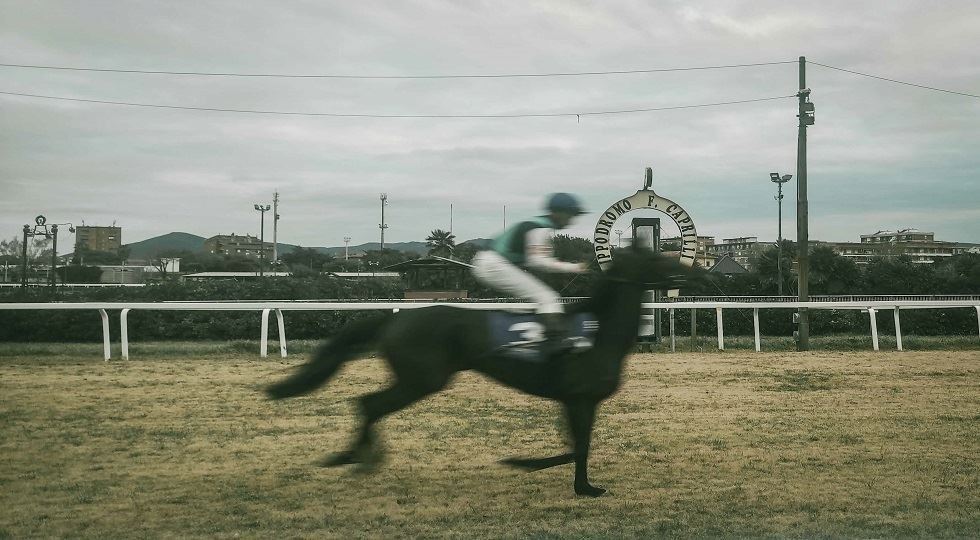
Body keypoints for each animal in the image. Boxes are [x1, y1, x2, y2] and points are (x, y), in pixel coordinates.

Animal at [266, 247, 696, 496]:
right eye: (654, 257)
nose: (686, 271)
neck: (600, 333)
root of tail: (395, 319)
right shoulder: (580, 398)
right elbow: (580, 447)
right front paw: (563, 479)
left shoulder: (572, 401)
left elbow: (578, 445)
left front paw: (573, 481)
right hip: (422, 379)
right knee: (369, 403)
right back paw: (356, 457)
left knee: (369, 404)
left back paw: (355, 456)